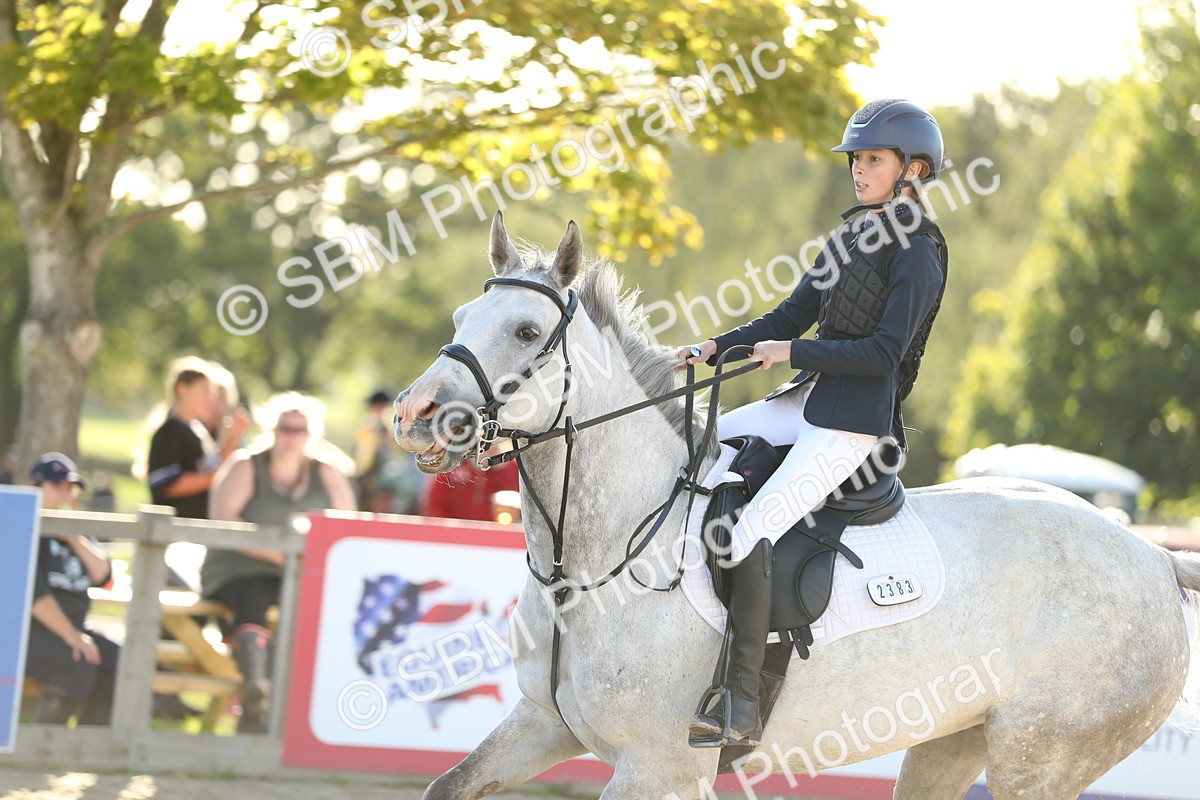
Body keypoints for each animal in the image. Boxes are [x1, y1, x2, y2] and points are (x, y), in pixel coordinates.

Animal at [393, 213, 1200, 800]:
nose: (414, 414)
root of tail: (1154, 557)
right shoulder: (542, 724)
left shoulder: (657, 769)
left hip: (1039, 759)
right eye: (462, 316)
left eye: (527, 332)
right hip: (953, 739)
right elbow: (447, 786)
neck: (595, 559)